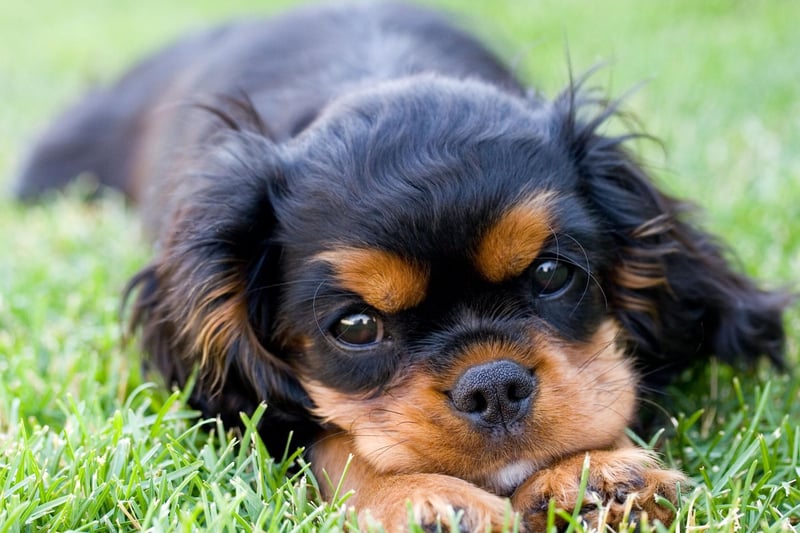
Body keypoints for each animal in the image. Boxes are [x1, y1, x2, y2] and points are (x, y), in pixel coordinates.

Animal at [15, 2, 792, 528]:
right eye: (356, 326)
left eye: (551, 275)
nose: (493, 385)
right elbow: (326, 440)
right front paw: (424, 498)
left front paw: (593, 475)